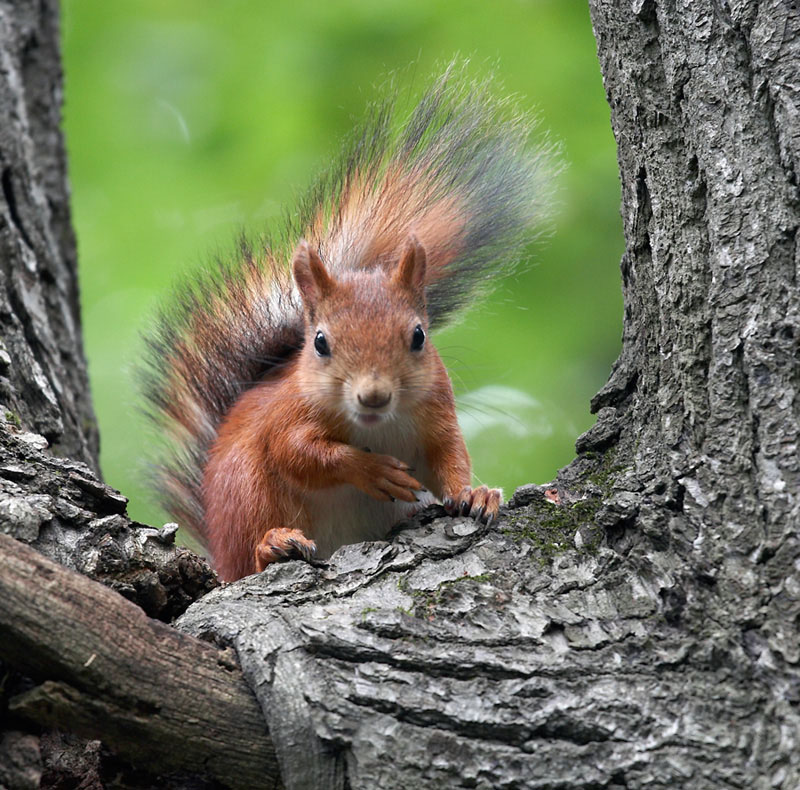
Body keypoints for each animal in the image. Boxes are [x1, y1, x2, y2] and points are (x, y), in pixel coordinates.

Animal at [141, 63, 552, 580]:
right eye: (319, 343)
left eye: (419, 336)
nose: (373, 395)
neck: (374, 427)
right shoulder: (286, 417)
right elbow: (301, 453)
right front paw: (369, 469)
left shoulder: (437, 411)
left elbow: (450, 457)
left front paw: (474, 493)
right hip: (245, 492)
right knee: (253, 552)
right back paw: (272, 546)